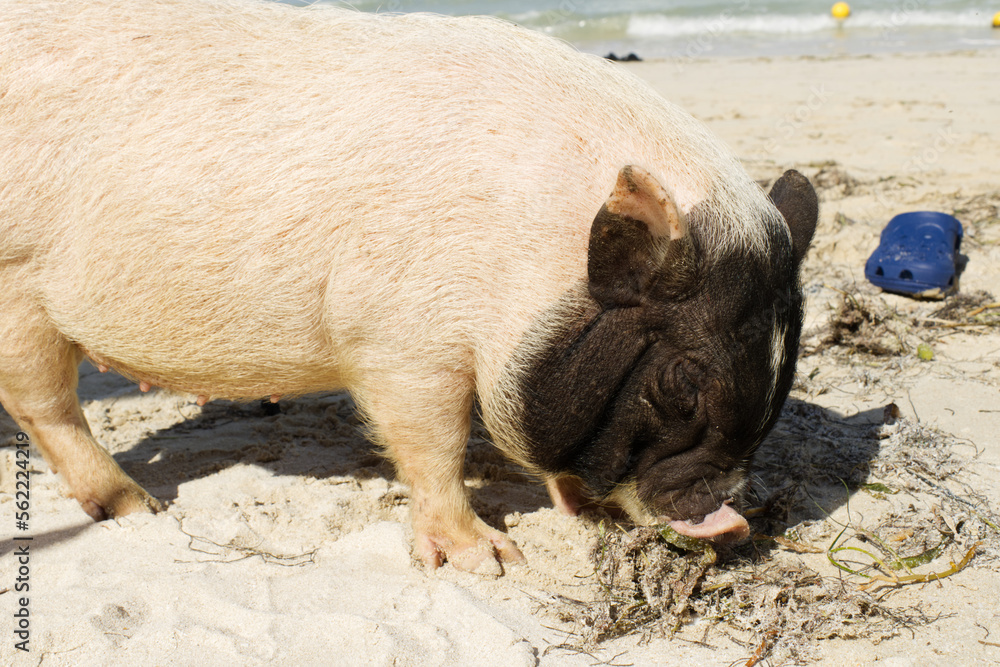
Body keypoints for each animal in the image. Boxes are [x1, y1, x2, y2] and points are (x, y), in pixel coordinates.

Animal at [0, 0, 817, 574]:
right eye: (681, 381)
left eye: (784, 375)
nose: (734, 518)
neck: (522, 258)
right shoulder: (398, 340)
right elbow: (434, 445)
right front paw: (493, 562)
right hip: (19, 288)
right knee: (45, 404)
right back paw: (138, 507)